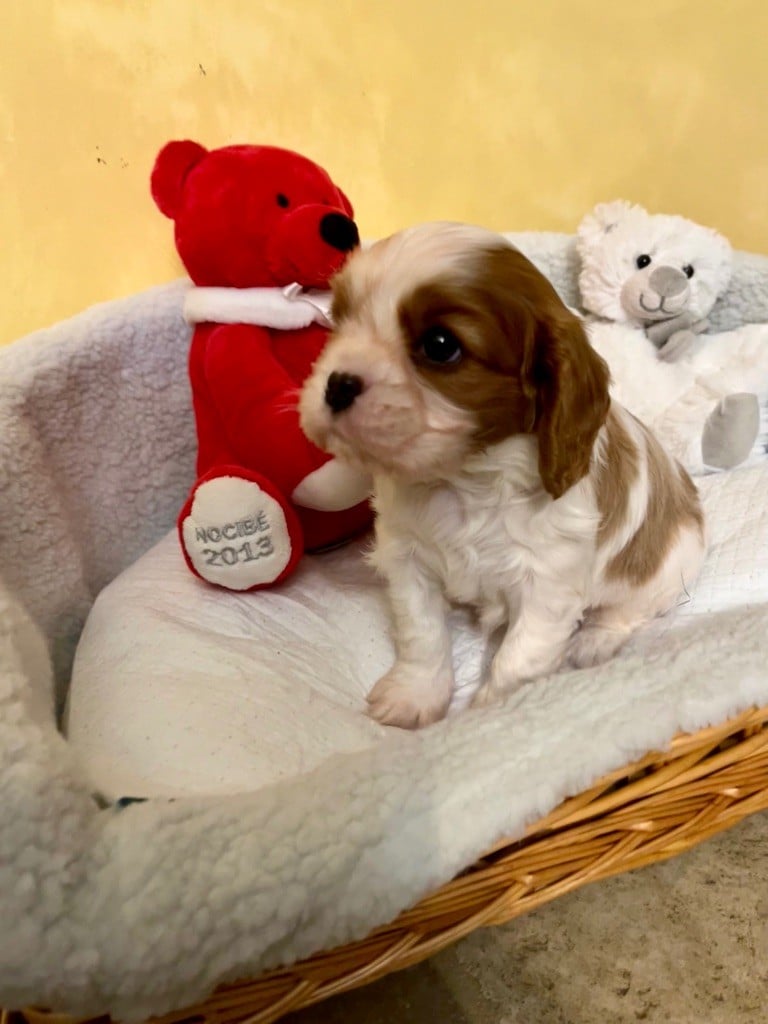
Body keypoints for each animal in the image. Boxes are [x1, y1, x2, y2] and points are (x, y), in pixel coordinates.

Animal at [301, 224, 708, 729]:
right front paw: (415, 695)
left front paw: (495, 716)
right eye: (337, 322)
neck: (463, 479)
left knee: (630, 610)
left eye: (440, 345)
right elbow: (423, 634)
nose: (336, 384)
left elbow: (518, 659)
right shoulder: (407, 559)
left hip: (668, 567)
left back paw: (596, 641)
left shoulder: (547, 586)